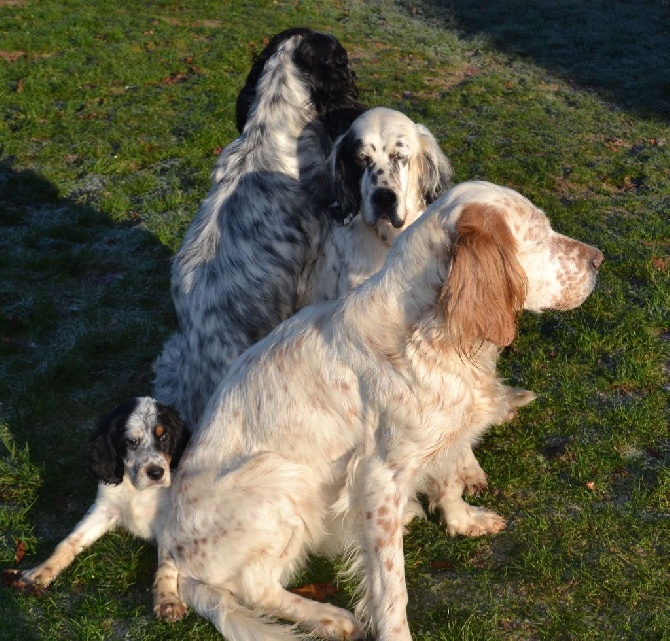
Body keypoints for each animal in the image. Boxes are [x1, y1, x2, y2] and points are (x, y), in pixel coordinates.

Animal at [8, 398, 189, 592]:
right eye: (131, 441)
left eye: (165, 437)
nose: (156, 473)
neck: (138, 490)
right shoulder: (105, 509)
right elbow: (69, 541)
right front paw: (40, 572)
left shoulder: (169, 524)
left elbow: (166, 564)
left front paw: (167, 597)